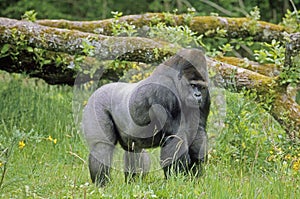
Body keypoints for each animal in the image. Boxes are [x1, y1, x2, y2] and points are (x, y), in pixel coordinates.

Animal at [81, 48, 210, 187]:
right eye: (193, 85)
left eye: (201, 87)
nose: (198, 95)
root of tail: (98, 90)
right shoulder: (163, 90)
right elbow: (176, 136)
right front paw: (177, 179)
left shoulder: (205, 94)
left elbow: (197, 131)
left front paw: (195, 175)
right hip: (96, 104)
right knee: (101, 147)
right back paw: (102, 184)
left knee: (134, 150)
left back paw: (133, 182)